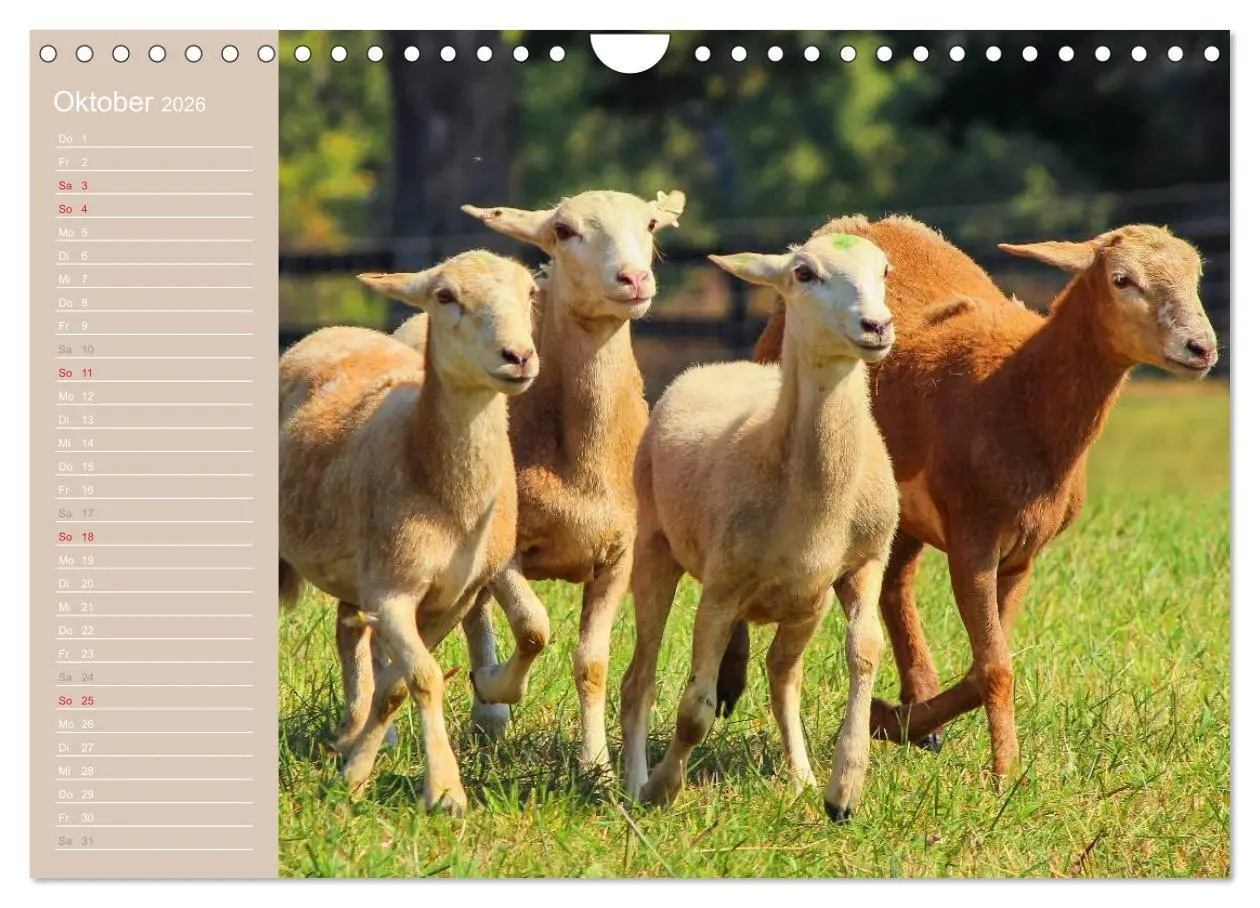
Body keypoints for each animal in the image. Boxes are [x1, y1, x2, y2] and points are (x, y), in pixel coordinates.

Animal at [278, 249, 549, 814]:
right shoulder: (394, 591)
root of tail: (330, 330)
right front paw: (445, 790)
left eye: (531, 293)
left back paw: (351, 732)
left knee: (348, 631)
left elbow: (397, 685)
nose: (517, 356)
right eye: (445, 296)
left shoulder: (452, 598)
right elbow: (423, 677)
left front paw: (354, 772)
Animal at [449, 188, 687, 772]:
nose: (633, 278)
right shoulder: (504, 551)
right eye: (563, 230)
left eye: (650, 224)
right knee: (474, 615)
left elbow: (592, 663)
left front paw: (596, 766)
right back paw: (488, 705)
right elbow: (534, 626)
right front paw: (497, 687)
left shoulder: (620, 555)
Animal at [620, 233, 900, 821]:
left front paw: (844, 788)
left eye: (884, 270)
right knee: (640, 680)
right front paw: (663, 789)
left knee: (782, 676)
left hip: (807, 602)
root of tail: (722, 363)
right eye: (803, 273)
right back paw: (634, 784)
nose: (876, 326)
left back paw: (802, 777)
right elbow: (695, 710)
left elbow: (865, 653)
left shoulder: (865, 563)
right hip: (655, 546)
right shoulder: (721, 589)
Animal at [720, 216, 1218, 782]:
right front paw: (1006, 774)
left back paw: (918, 704)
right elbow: (995, 666)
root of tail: (860, 223)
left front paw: (892, 721)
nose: (1201, 347)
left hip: (903, 512)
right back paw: (730, 678)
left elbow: (985, 666)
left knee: (895, 585)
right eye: (1122, 280)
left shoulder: (1023, 552)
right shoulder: (972, 537)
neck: (1020, 395)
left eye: (1196, 276)